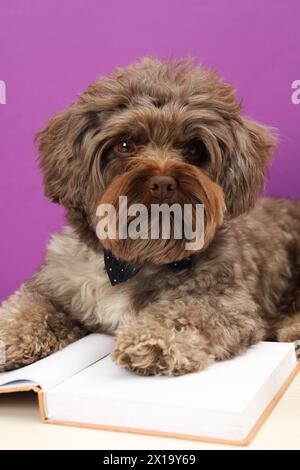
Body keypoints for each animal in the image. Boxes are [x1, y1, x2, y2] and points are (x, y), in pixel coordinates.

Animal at [0, 57, 300, 376]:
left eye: (194, 148)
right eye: (125, 144)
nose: (163, 183)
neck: (135, 260)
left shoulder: (225, 301)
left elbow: (185, 313)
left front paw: (152, 340)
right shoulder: (55, 284)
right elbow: (30, 306)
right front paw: (9, 335)